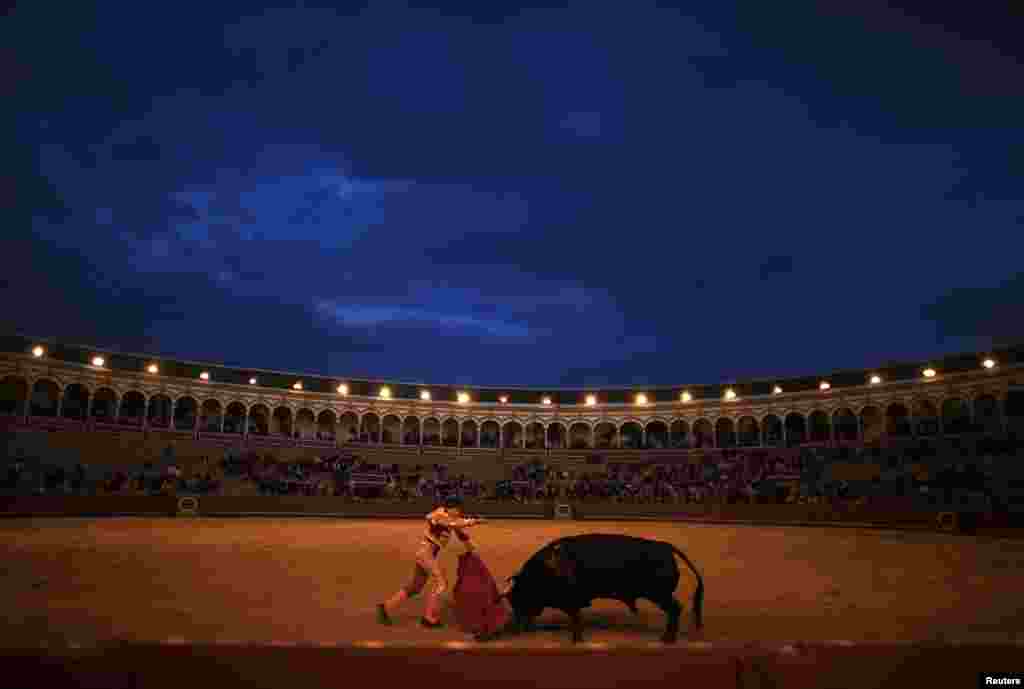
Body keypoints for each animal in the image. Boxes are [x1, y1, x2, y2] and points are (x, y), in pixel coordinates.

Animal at [495, 532, 704, 647]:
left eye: (519, 597)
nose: (517, 626)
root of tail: (665, 547)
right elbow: (576, 618)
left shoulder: (571, 601)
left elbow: (576, 619)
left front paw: (577, 640)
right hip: (660, 594)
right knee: (674, 610)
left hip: (659, 594)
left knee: (675, 609)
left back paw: (667, 639)